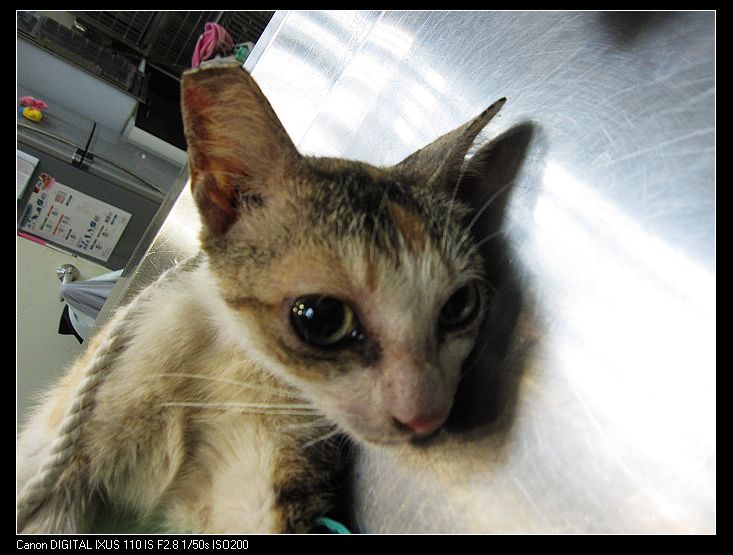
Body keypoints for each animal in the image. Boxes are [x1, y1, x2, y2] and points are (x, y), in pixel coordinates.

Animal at [16, 62, 506, 534]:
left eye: (460, 305)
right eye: (322, 317)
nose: (427, 416)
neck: (236, 362)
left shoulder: (274, 469)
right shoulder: (61, 456)